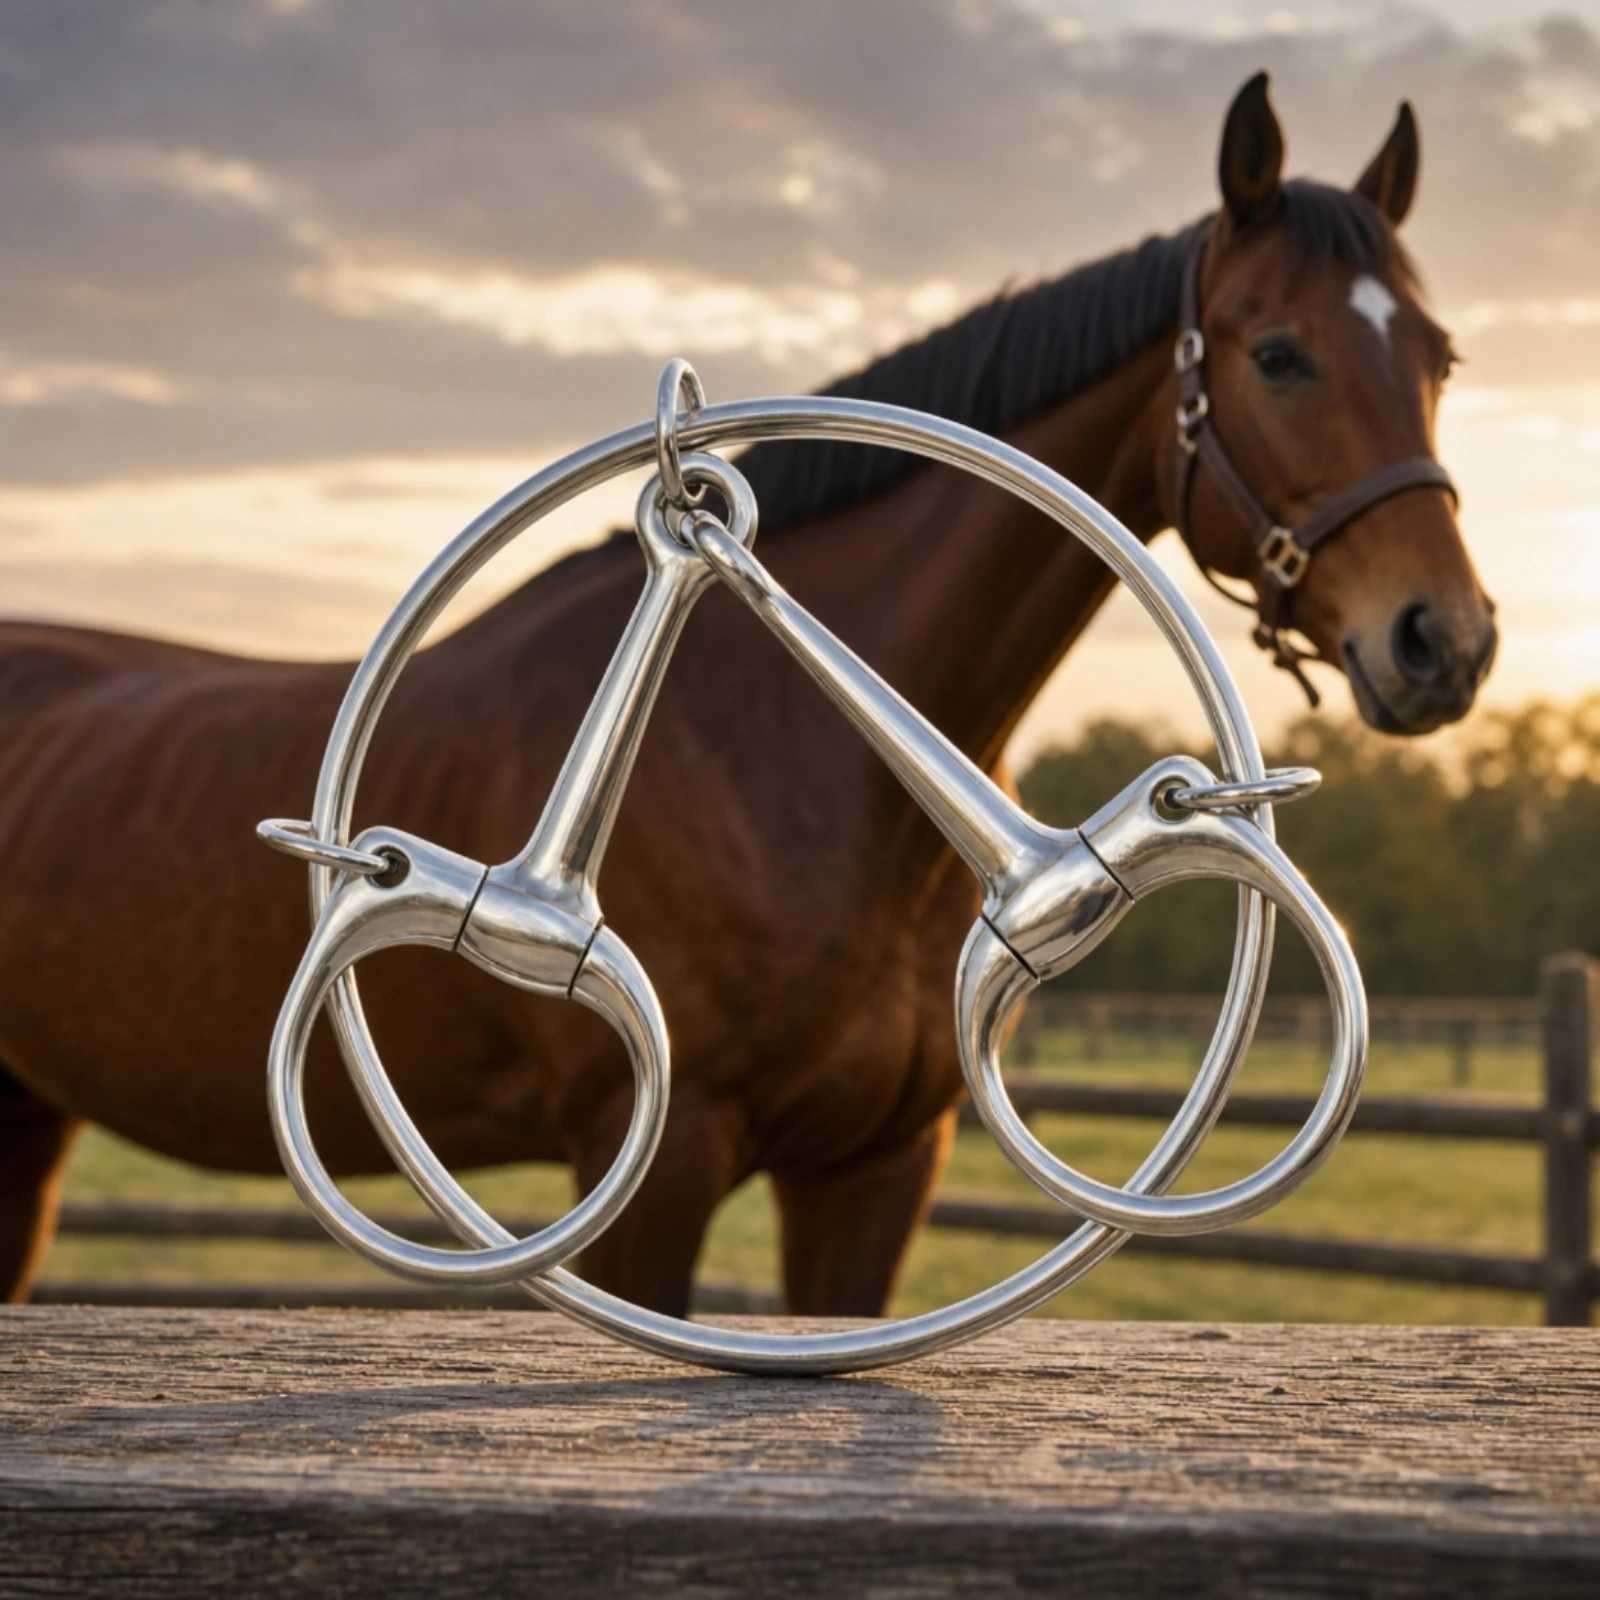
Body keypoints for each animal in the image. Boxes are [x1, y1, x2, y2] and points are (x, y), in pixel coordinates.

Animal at [0, 74, 1495, 1314]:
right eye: (1278, 352)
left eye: (1438, 355)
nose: (1442, 640)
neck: (797, 781)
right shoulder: (656, 1149)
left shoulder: (876, 1162)